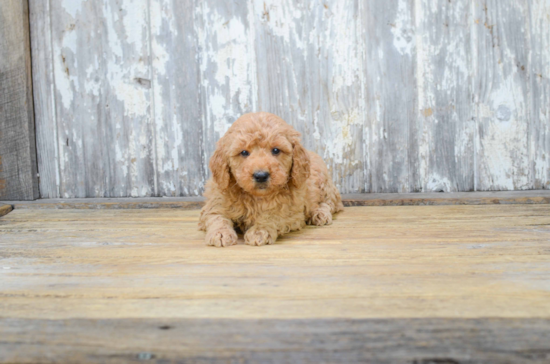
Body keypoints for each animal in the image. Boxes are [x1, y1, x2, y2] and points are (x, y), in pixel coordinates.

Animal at [198, 111, 344, 247]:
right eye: (244, 152)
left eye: (275, 150)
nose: (261, 175)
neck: (256, 197)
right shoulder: (215, 201)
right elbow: (216, 216)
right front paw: (220, 233)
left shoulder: (291, 211)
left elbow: (273, 215)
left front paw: (259, 230)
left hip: (324, 184)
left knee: (329, 203)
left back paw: (320, 213)